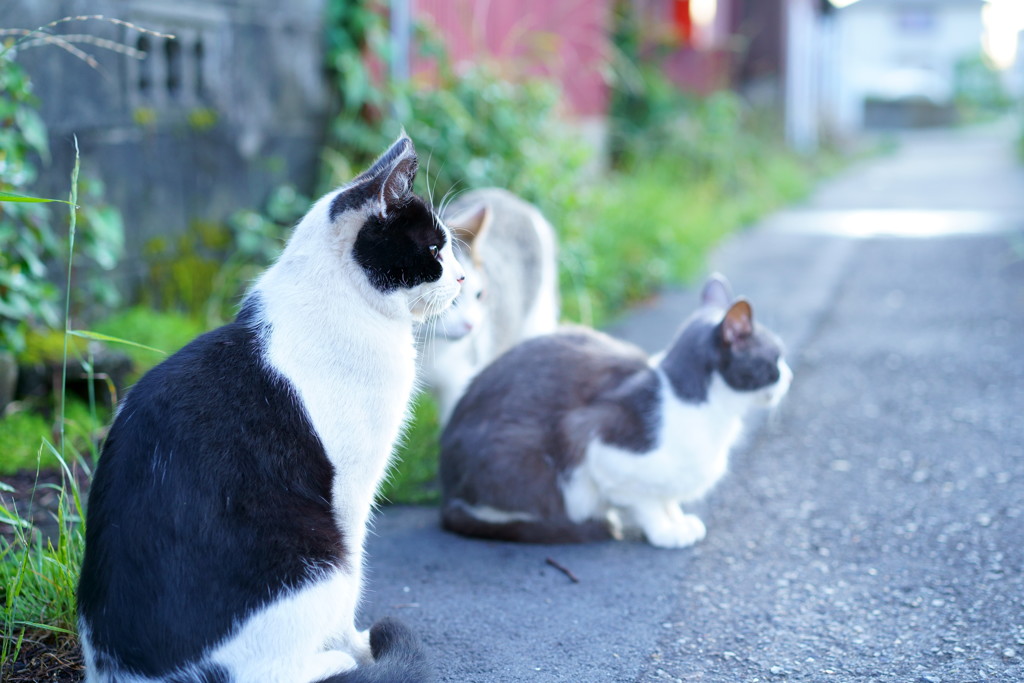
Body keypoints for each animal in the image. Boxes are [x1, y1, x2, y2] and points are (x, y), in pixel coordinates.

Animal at [77, 135, 462, 683]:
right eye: (433, 249)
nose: (463, 277)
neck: (342, 304)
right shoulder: (351, 488)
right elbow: (356, 570)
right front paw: (358, 645)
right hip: (314, 556)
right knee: (277, 667)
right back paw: (335, 659)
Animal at [440, 274, 790, 548]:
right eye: (776, 359)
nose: (788, 375)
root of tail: (447, 487)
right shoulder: (597, 439)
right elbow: (646, 503)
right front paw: (665, 531)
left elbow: (668, 496)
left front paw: (678, 519)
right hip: (521, 461)